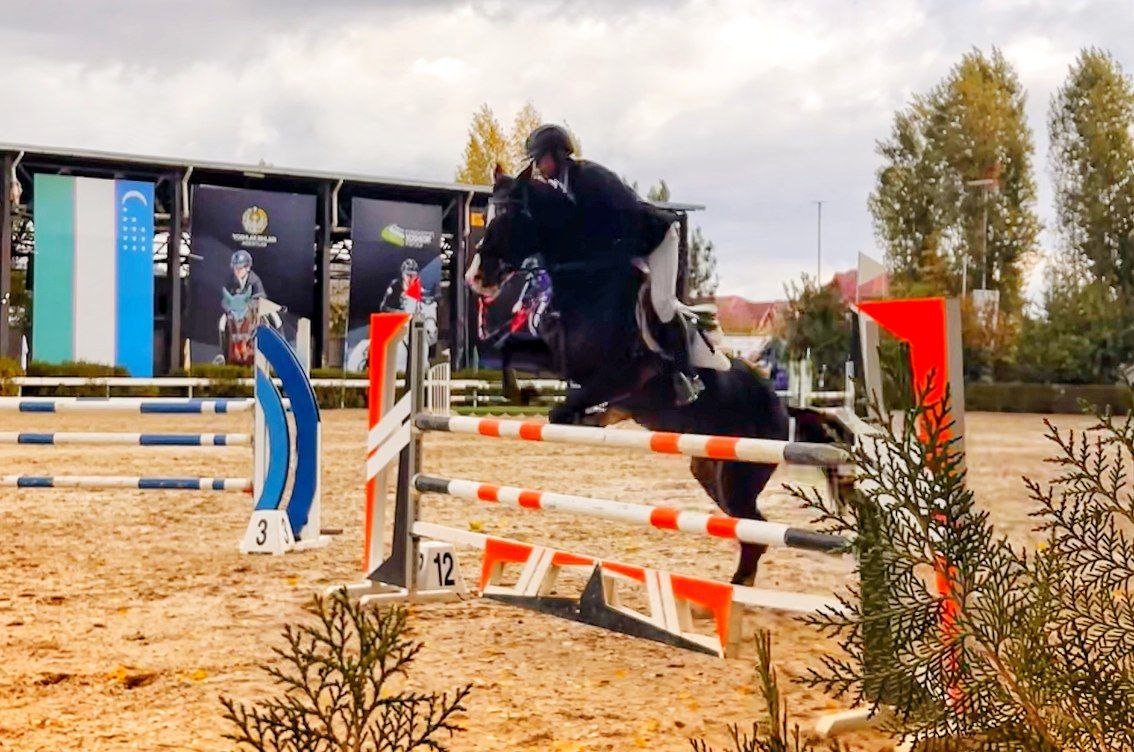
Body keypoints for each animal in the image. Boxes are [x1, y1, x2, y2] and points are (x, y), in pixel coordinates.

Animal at [465, 168, 840, 585]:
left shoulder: (626, 373)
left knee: (755, 529)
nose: (476, 277)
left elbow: (564, 407)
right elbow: (512, 353)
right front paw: (524, 393)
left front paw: (575, 413)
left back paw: (735, 590)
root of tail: (783, 409)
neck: (590, 281)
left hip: (741, 474)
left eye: (510, 217)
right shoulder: (563, 359)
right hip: (709, 470)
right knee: (750, 527)